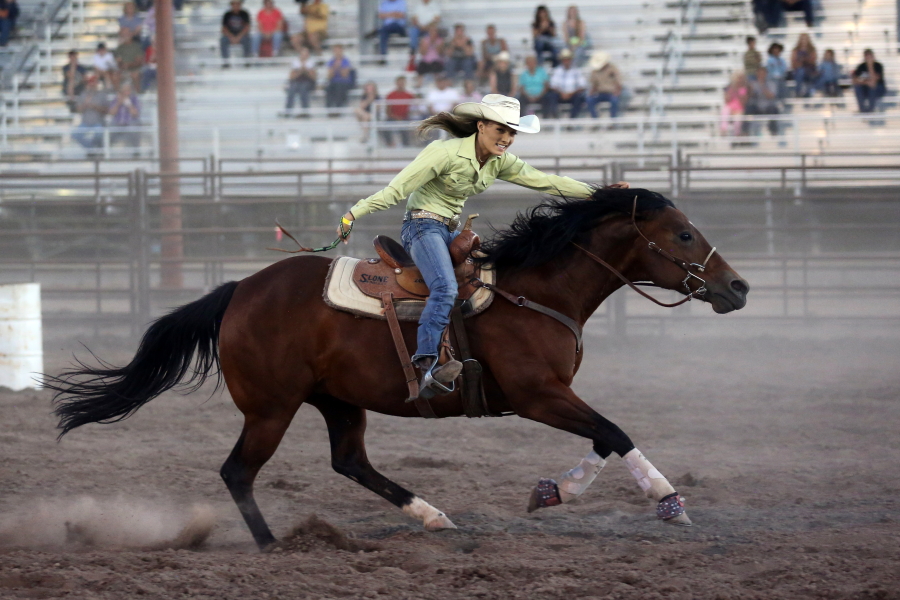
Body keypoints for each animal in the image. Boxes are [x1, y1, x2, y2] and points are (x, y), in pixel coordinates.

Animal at [47, 188, 752, 548]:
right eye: (683, 234)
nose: (739, 288)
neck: (535, 292)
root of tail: (239, 290)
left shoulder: (552, 396)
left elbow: (604, 438)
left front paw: (554, 491)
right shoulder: (538, 395)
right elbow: (615, 432)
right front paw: (668, 502)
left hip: (337, 401)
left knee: (350, 462)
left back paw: (432, 516)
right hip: (271, 408)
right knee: (238, 471)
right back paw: (274, 545)